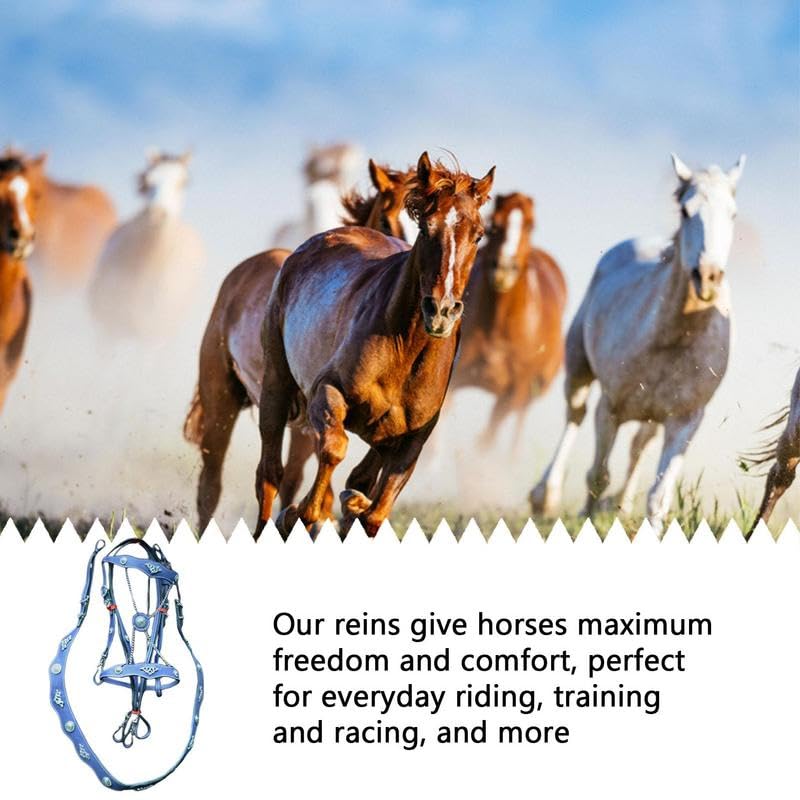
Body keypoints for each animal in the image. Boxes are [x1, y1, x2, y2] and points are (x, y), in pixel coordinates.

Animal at [254, 152, 494, 538]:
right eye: (427, 228)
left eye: (479, 235)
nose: (441, 310)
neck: (403, 350)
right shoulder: (327, 392)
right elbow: (334, 451)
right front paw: (298, 515)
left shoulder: (411, 440)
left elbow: (375, 512)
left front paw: (352, 506)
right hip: (276, 382)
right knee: (269, 471)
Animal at [450, 191, 567, 448]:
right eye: (494, 224)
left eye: (531, 225)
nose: (504, 268)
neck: (498, 328)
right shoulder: (456, 376)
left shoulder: (513, 394)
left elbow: (487, 441)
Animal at [530, 153, 745, 533]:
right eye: (686, 211)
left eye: (732, 213)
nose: (707, 278)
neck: (671, 338)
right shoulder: (610, 409)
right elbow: (597, 474)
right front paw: (588, 515)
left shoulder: (685, 421)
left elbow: (658, 494)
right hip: (579, 372)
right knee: (574, 416)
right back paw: (546, 496)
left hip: (652, 417)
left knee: (638, 447)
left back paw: (621, 503)